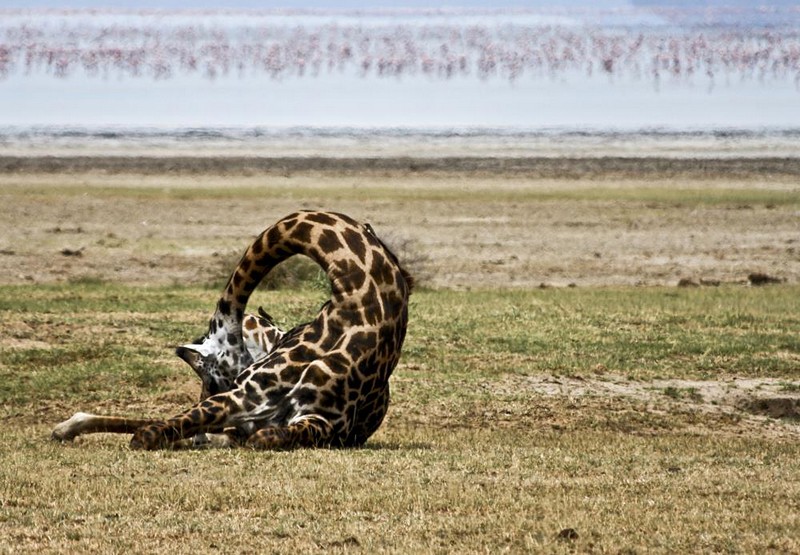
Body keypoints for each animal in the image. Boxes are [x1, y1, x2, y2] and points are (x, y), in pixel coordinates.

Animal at [51, 211, 412, 450]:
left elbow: (150, 432)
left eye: (208, 377)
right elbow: (158, 429)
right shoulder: (258, 408)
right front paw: (68, 426)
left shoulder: (310, 418)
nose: (207, 388)